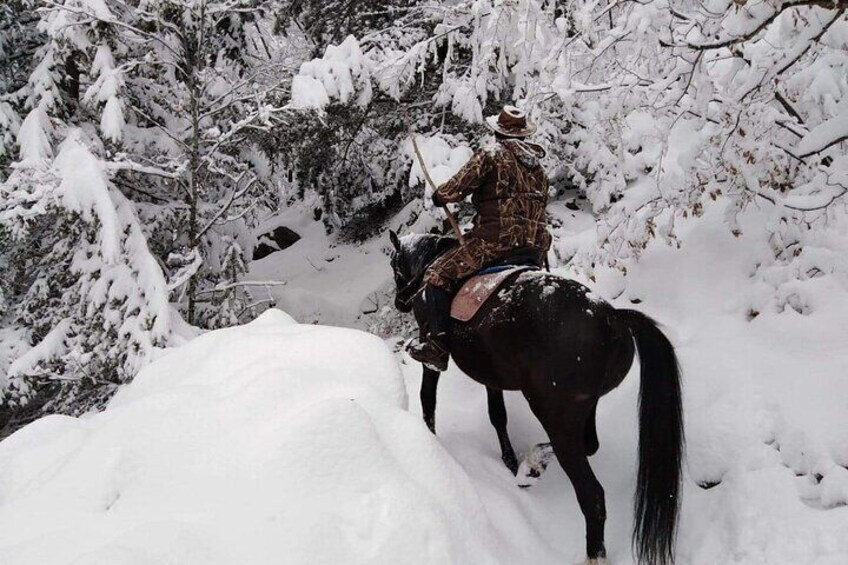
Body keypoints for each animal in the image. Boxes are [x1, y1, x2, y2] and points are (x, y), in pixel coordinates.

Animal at [390, 230, 684, 564]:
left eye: (394, 264)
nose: (400, 301)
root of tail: (612, 317)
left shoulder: (433, 355)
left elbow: (428, 397)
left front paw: (430, 439)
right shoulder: (492, 374)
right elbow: (497, 415)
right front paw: (509, 461)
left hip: (553, 414)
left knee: (592, 494)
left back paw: (591, 552)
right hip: (583, 407)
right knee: (590, 445)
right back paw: (531, 467)